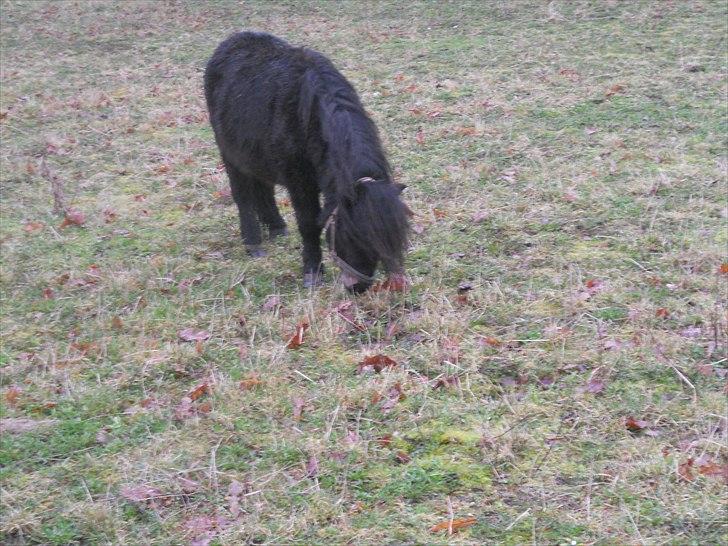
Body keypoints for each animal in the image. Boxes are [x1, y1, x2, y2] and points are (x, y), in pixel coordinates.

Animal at [205, 31, 410, 292]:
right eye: (354, 235)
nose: (357, 288)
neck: (314, 119)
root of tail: (232, 40)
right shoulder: (299, 184)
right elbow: (309, 224)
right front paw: (313, 271)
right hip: (230, 155)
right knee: (242, 196)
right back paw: (253, 243)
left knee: (264, 189)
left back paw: (277, 227)